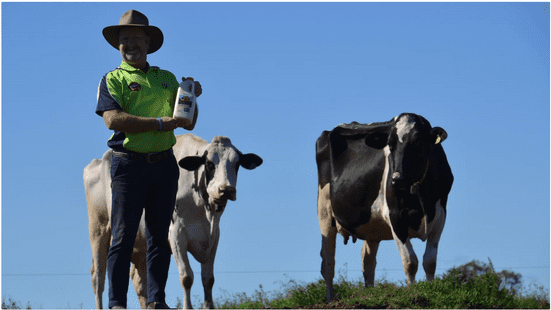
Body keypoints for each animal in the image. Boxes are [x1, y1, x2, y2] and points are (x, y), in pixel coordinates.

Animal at [85, 134, 264, 310]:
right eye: (209, 164)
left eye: (237, 164)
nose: (226, 190)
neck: (205, 212)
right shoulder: (176, 235)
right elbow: (187, 276)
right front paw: (187, 307)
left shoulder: (213, 236)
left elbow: (208, 278)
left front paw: (209, 307)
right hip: (99, 231)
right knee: (98, 278)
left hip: (141, 243)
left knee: (138, 279)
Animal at [316, 112, 454, 302]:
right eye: (390, 145)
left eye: (418, 142)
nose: (397, 179)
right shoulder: (395, 216)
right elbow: (410, 261)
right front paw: (413, 292)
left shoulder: (440, 214)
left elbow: (430, 261)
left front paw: (431, 289)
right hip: (324, 212)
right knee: (328, 261)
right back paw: (331, 299)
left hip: (371, 227)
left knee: (367, 260)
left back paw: (369, 292)